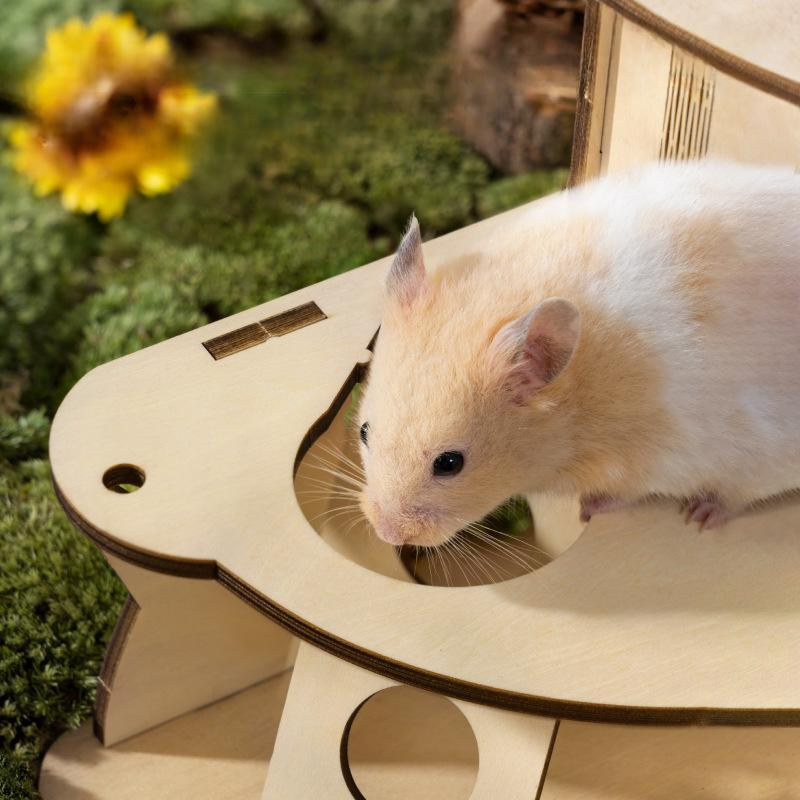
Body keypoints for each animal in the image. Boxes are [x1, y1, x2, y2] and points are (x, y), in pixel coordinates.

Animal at [356, 160, 800, 547]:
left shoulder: (654, 459)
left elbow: (624, 492)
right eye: (363, 432)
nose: (386, 534)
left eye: (450, 464)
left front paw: (588, 509)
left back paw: (701, 514)